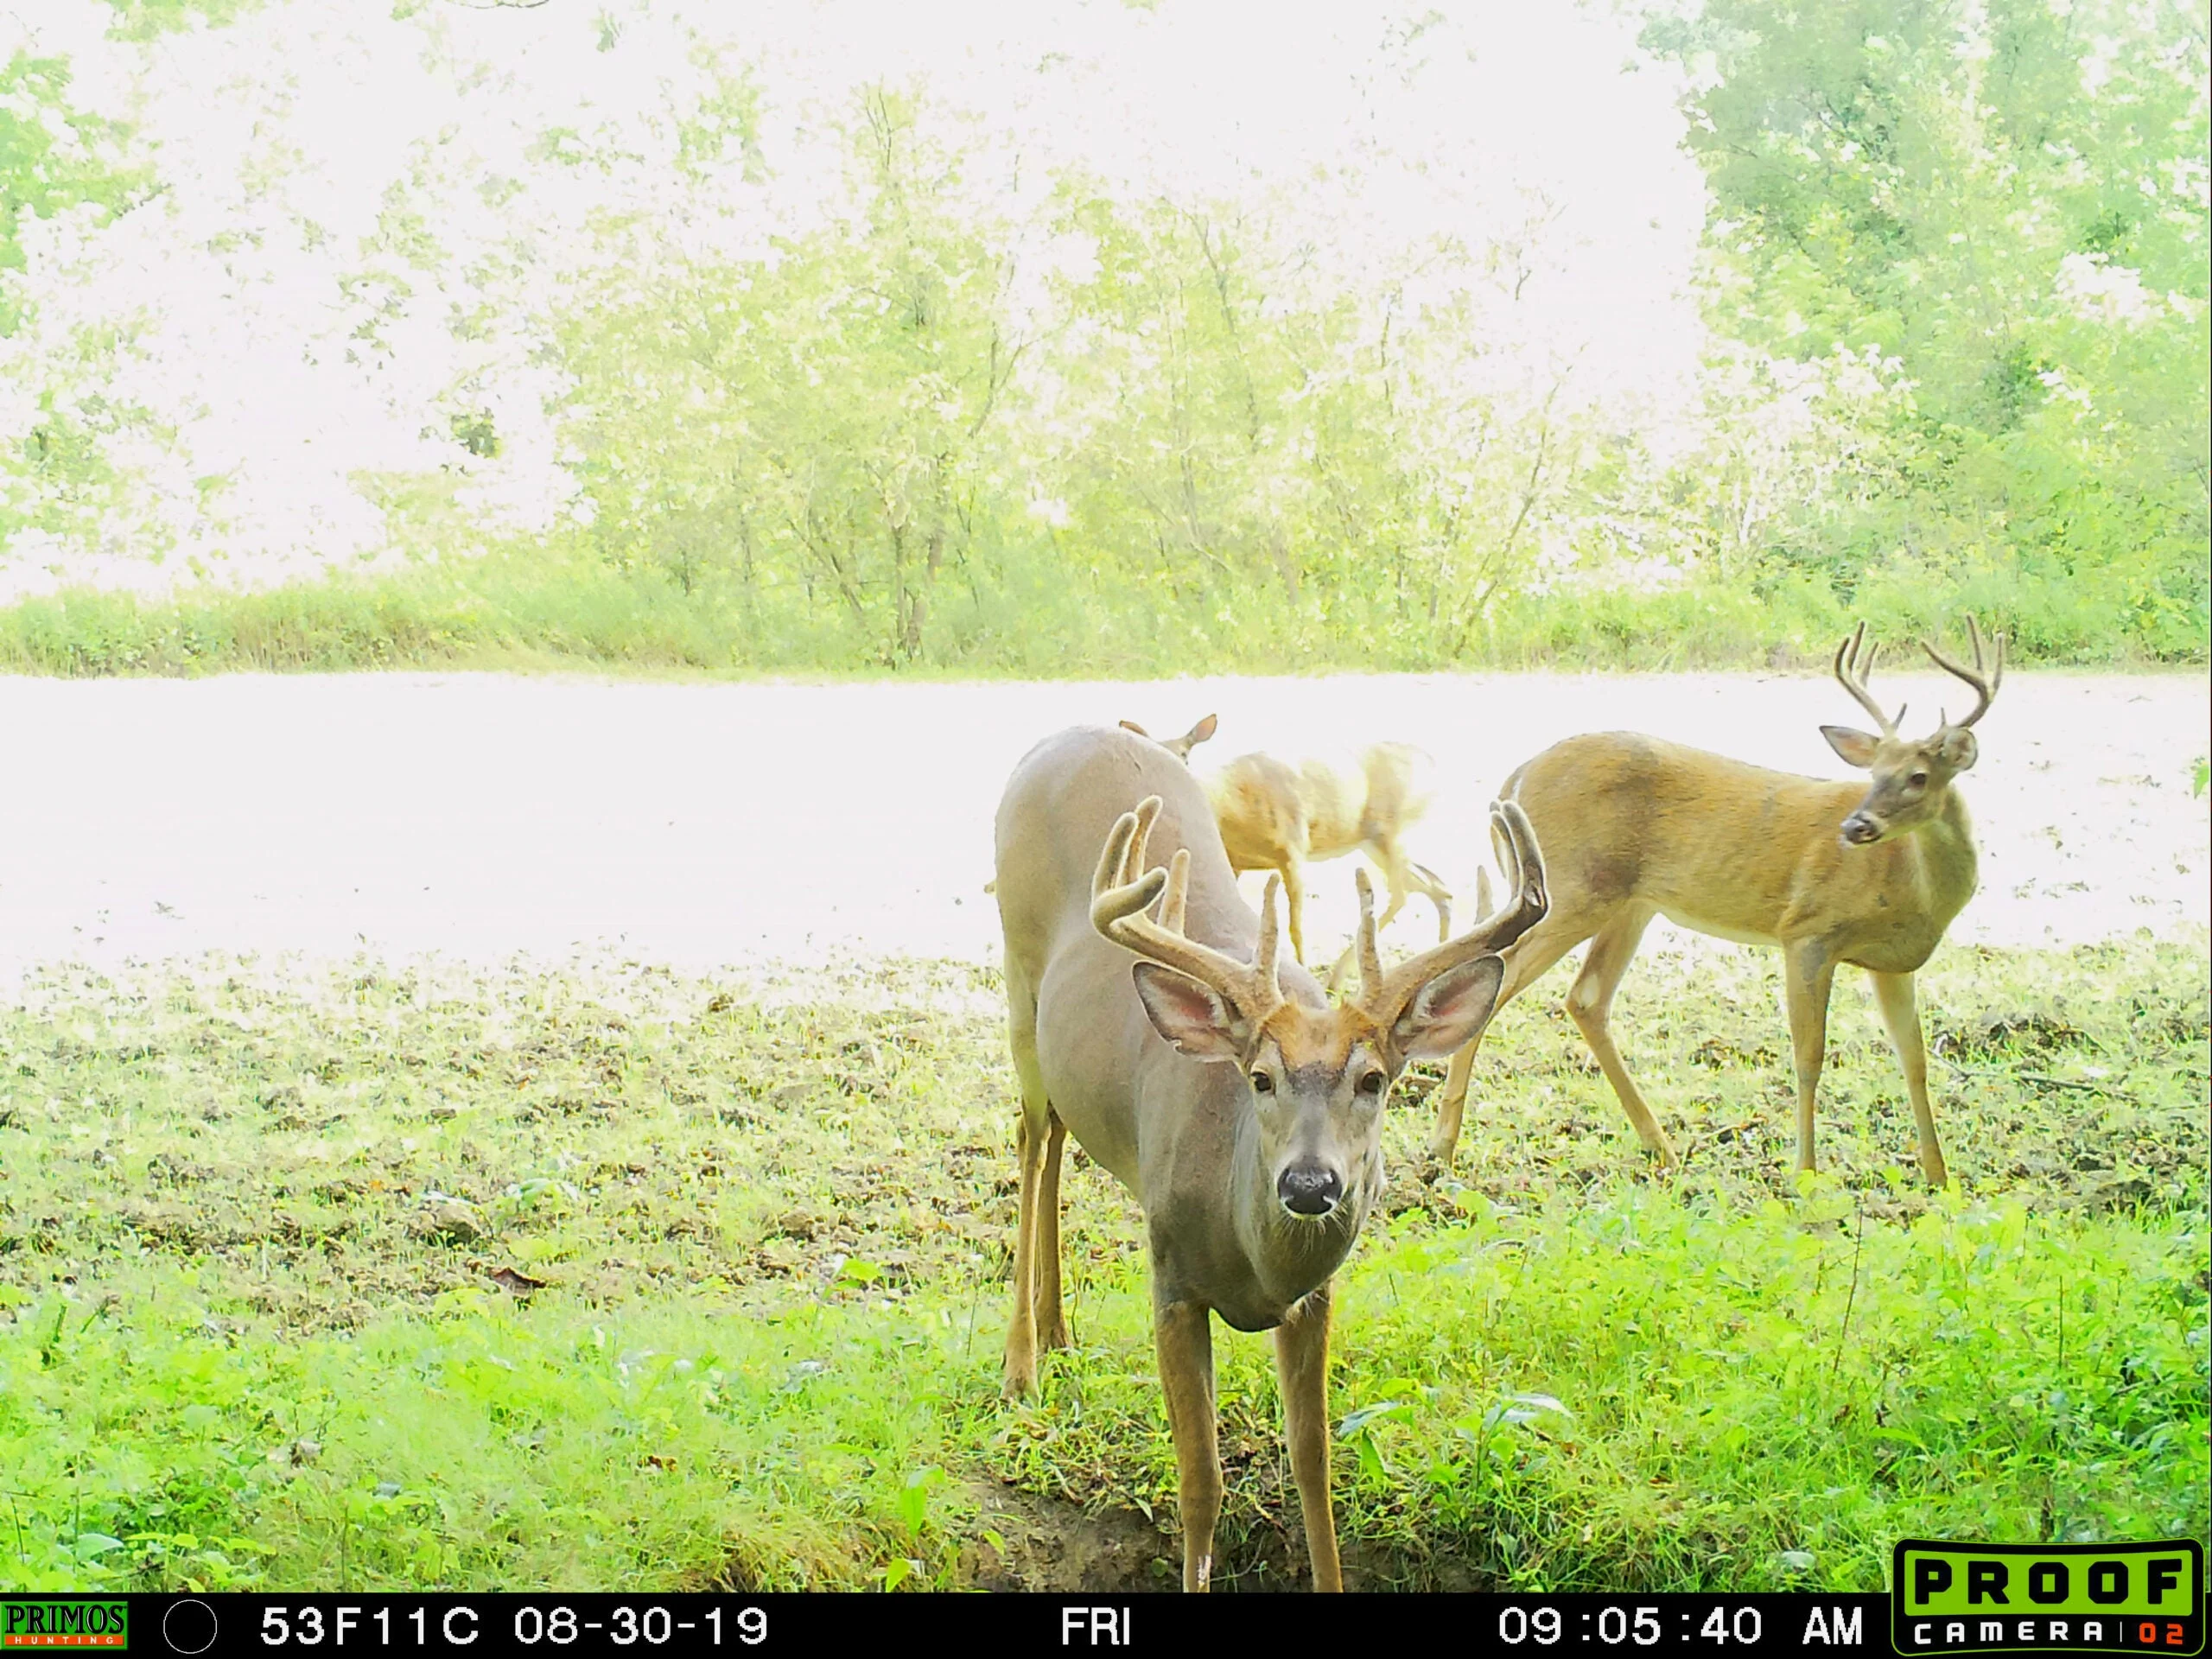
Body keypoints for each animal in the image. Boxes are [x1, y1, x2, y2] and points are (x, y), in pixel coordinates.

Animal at [1203, 739, 1459, 973]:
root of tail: (1432, 764)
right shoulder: (1234, 862)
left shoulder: (1295, 851)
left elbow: (1296, 927)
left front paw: (1305, 970)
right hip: (1374, 844)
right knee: (1434, 885)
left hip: (1387, 832)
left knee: (1403, 893)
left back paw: (1336, 977)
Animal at [1424, 619, 1999, 1185]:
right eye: (1873, 773)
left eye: (1918, 776)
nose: (1856, 827)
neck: (1913, 887)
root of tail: (1513, 781)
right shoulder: (1807, 931)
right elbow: (1809, 1056)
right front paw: (1806, 1175)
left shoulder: (1893, 963)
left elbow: (1914, 1058)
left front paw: (1939, 1177)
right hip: (1574, 891)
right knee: (1501, 980)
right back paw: (1444, 1148)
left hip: (1630, 903)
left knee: (1586, 997)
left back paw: (1662, 1149)